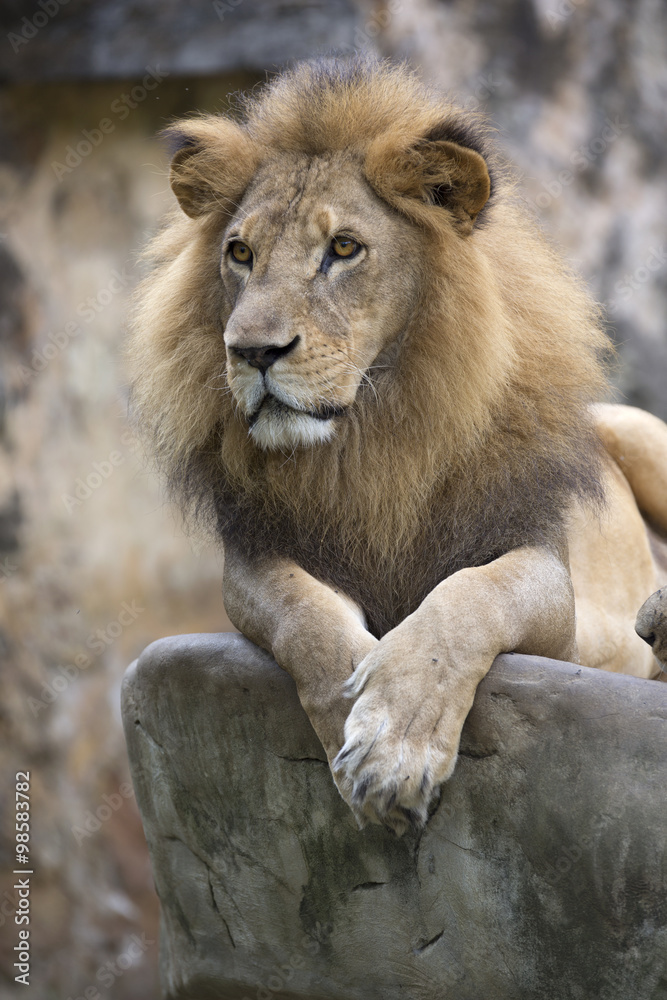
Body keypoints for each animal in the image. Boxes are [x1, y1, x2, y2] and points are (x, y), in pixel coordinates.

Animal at [129, 56, 667, 836]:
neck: (373, 442)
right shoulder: (256, 557)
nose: (251, 352)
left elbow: (465, 599)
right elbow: (306, 617)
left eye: (343, 248)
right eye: (240, 253)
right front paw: (357, 714)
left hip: (636, 429)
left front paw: (393, 744)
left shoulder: (550, 588)